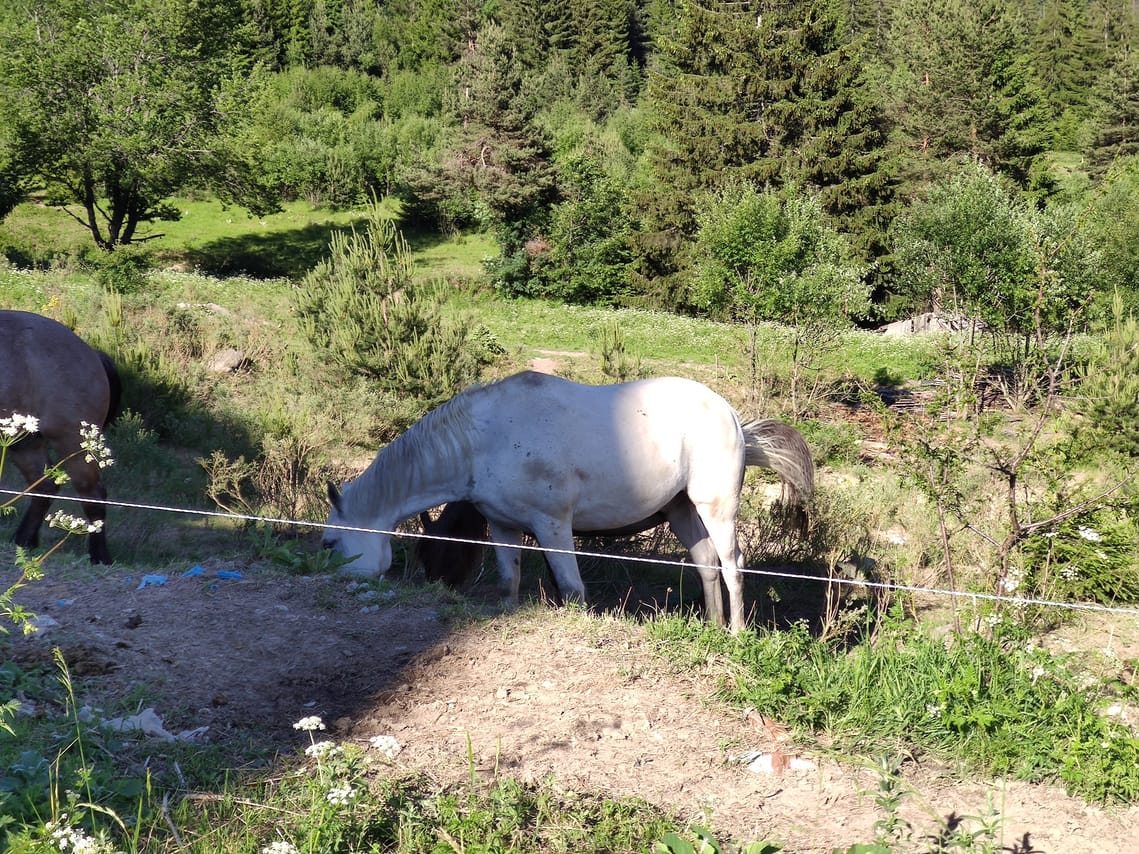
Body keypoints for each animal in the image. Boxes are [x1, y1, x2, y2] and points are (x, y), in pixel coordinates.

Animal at [0, 310, 121, 564]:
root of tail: (91, 353)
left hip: (72, 444)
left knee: (93, 495)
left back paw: (100, 556)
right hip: (25, 444)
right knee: (43, 486)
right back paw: (23, 540)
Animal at [323, 371, 814, 633]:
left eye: (329, 544)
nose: (438, 588)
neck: (482, 439)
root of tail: (732, 415)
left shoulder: (553, 526)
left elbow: (573, 591)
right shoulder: (504, 527)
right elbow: (509, 582)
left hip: (716, 508)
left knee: (732, 565)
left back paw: (736, 634)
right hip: (681, 510)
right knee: (706, 563)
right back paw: (712, 628)